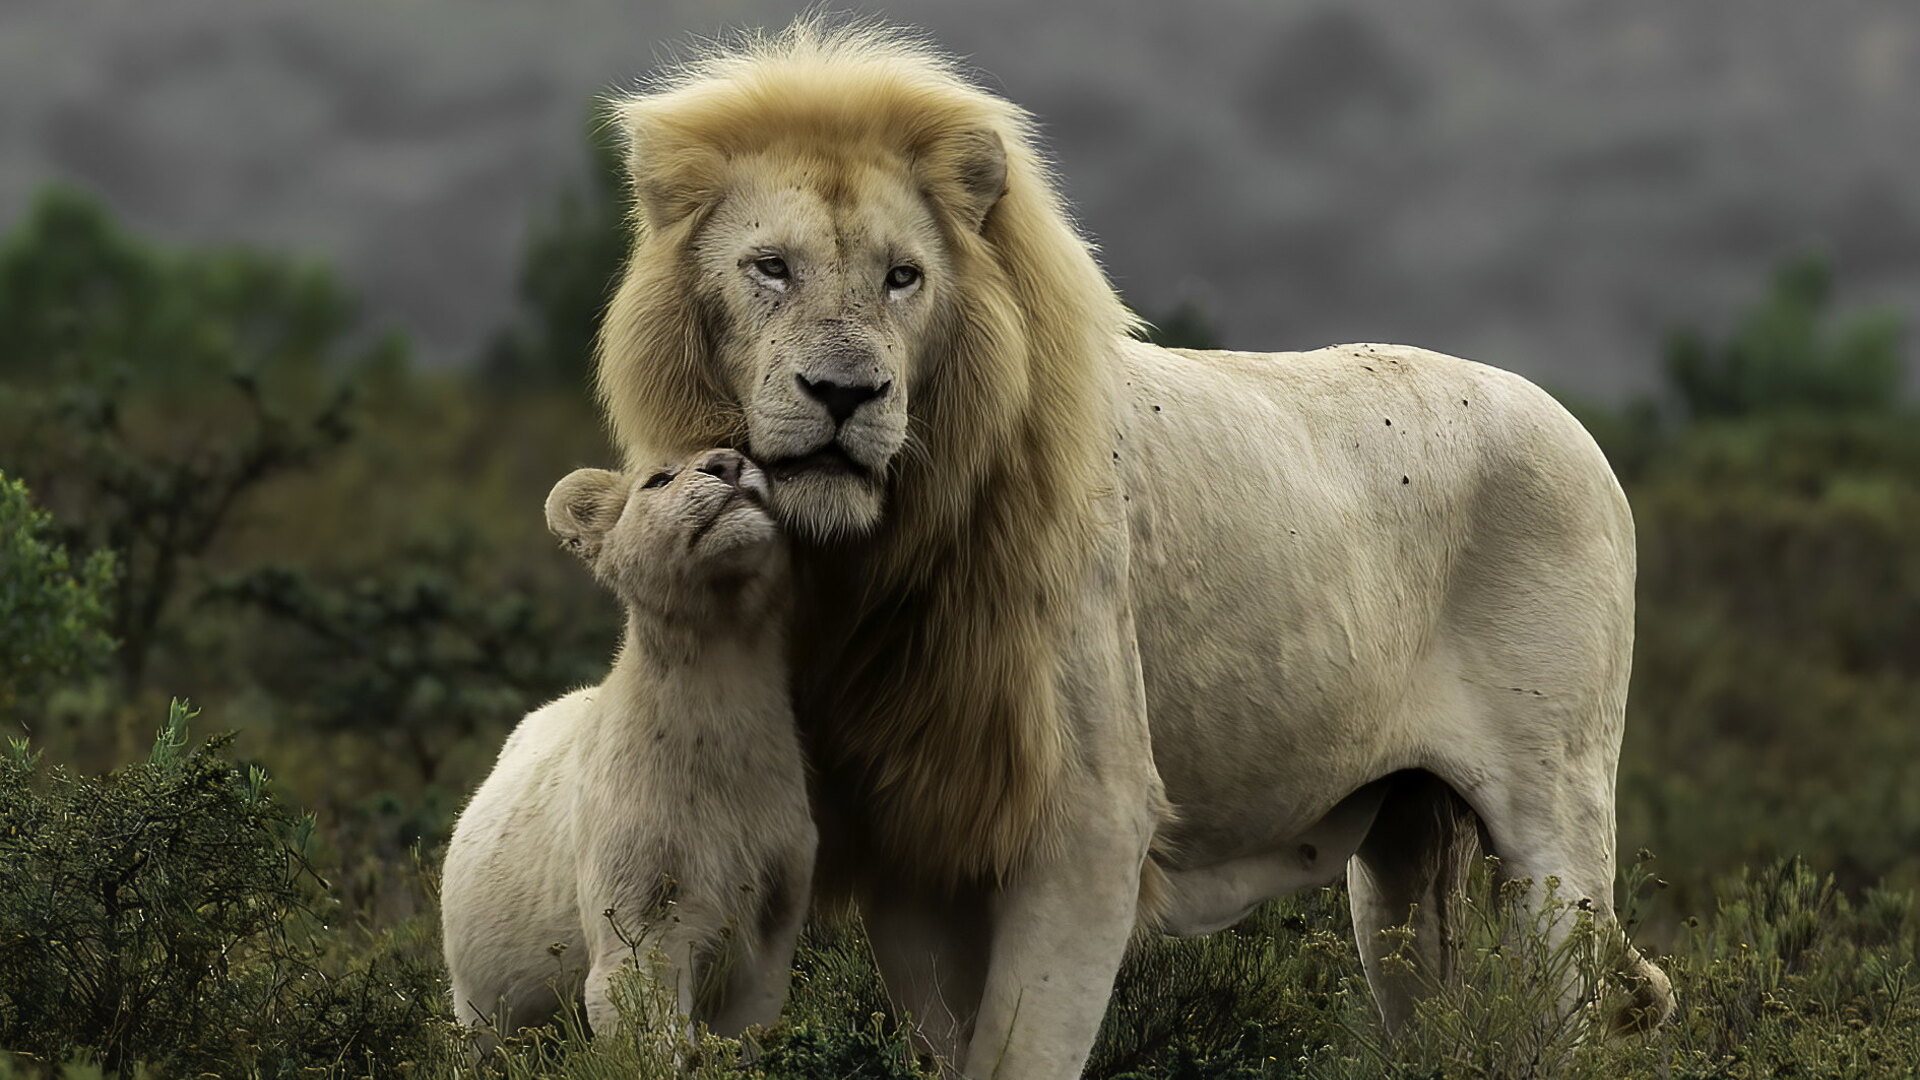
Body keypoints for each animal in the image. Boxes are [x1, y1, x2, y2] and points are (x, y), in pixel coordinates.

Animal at [441, 450, 813, 1047]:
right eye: (658, 478)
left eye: (748, 454)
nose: (728, 463)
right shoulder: (641, 895)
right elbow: (639, 1006)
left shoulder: (776, 895)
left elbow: (749, 1020)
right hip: (478, 996)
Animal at [593, 21, 1674, 1078]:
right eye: (771, 267)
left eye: (904, 278)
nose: (844, 393)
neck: (874, 560)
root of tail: (1573, 427)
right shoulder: (919, 833)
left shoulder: (1088, 823)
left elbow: (1024, 1049)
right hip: (1401, 862)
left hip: (1556, 826)